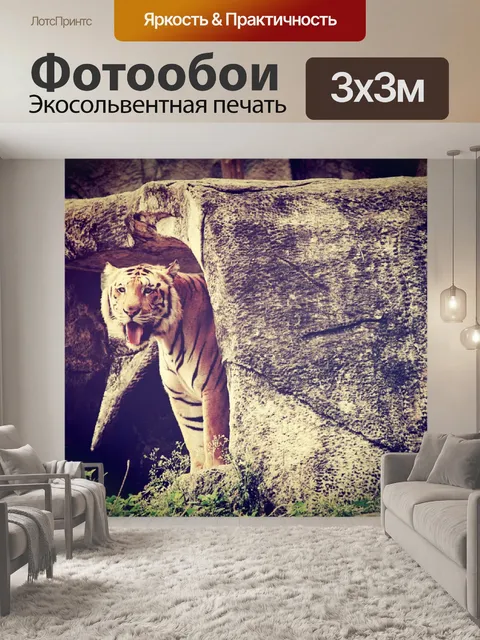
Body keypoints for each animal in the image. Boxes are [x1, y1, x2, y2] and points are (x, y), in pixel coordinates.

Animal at [100, 260, 230, 471]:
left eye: (148, 290)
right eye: (121, 289)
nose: (130, 311)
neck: (168, 338)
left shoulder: (215, 386)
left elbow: (213, 435)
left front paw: (216, 469)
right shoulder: (182, 396)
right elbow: (194, 439)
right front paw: (198, 473)